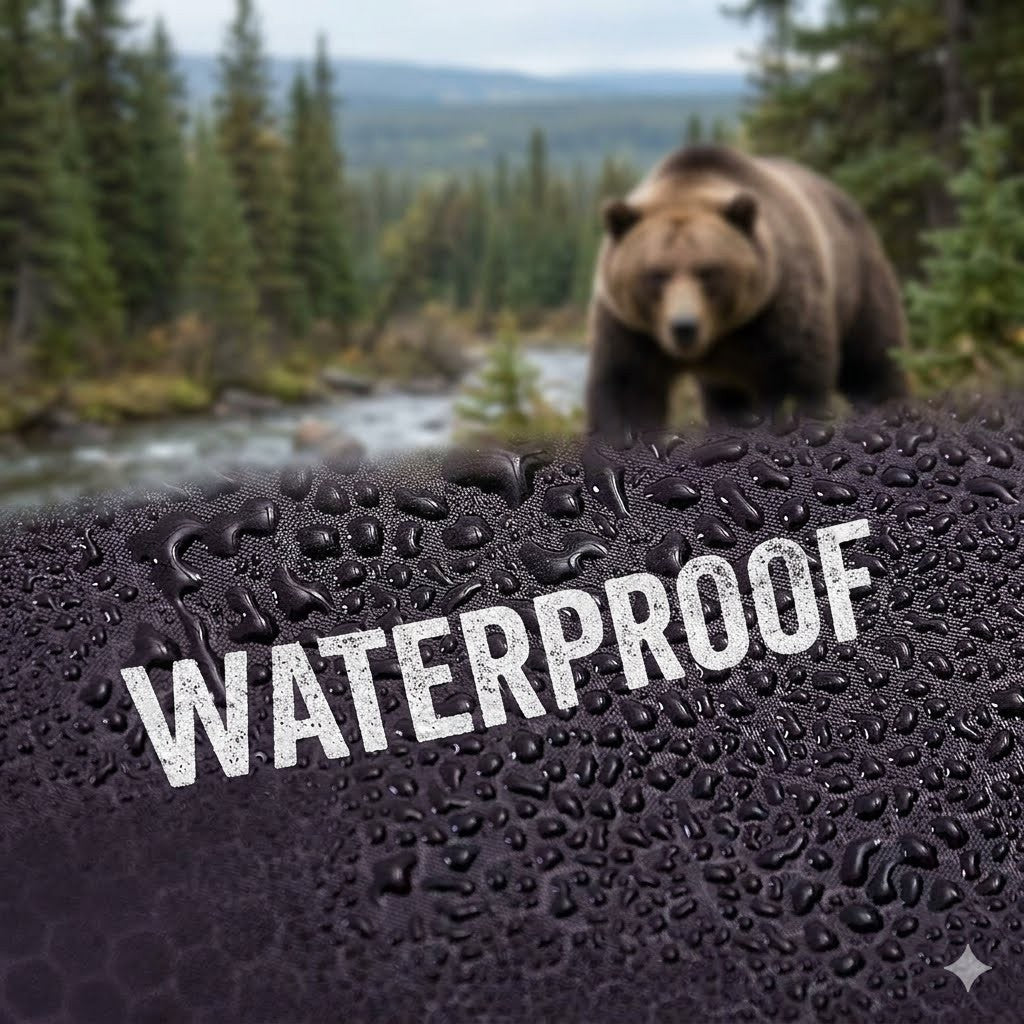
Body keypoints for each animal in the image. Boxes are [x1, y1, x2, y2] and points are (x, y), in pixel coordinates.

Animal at [585, 144, 910, 437]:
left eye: (708, 271)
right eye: (656, 274)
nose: (684, 327)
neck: (723, 334)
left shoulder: (779, 308)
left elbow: (798, 379)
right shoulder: (631, 328)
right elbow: (625, 391)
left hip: (858, 280)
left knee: (873, 362)